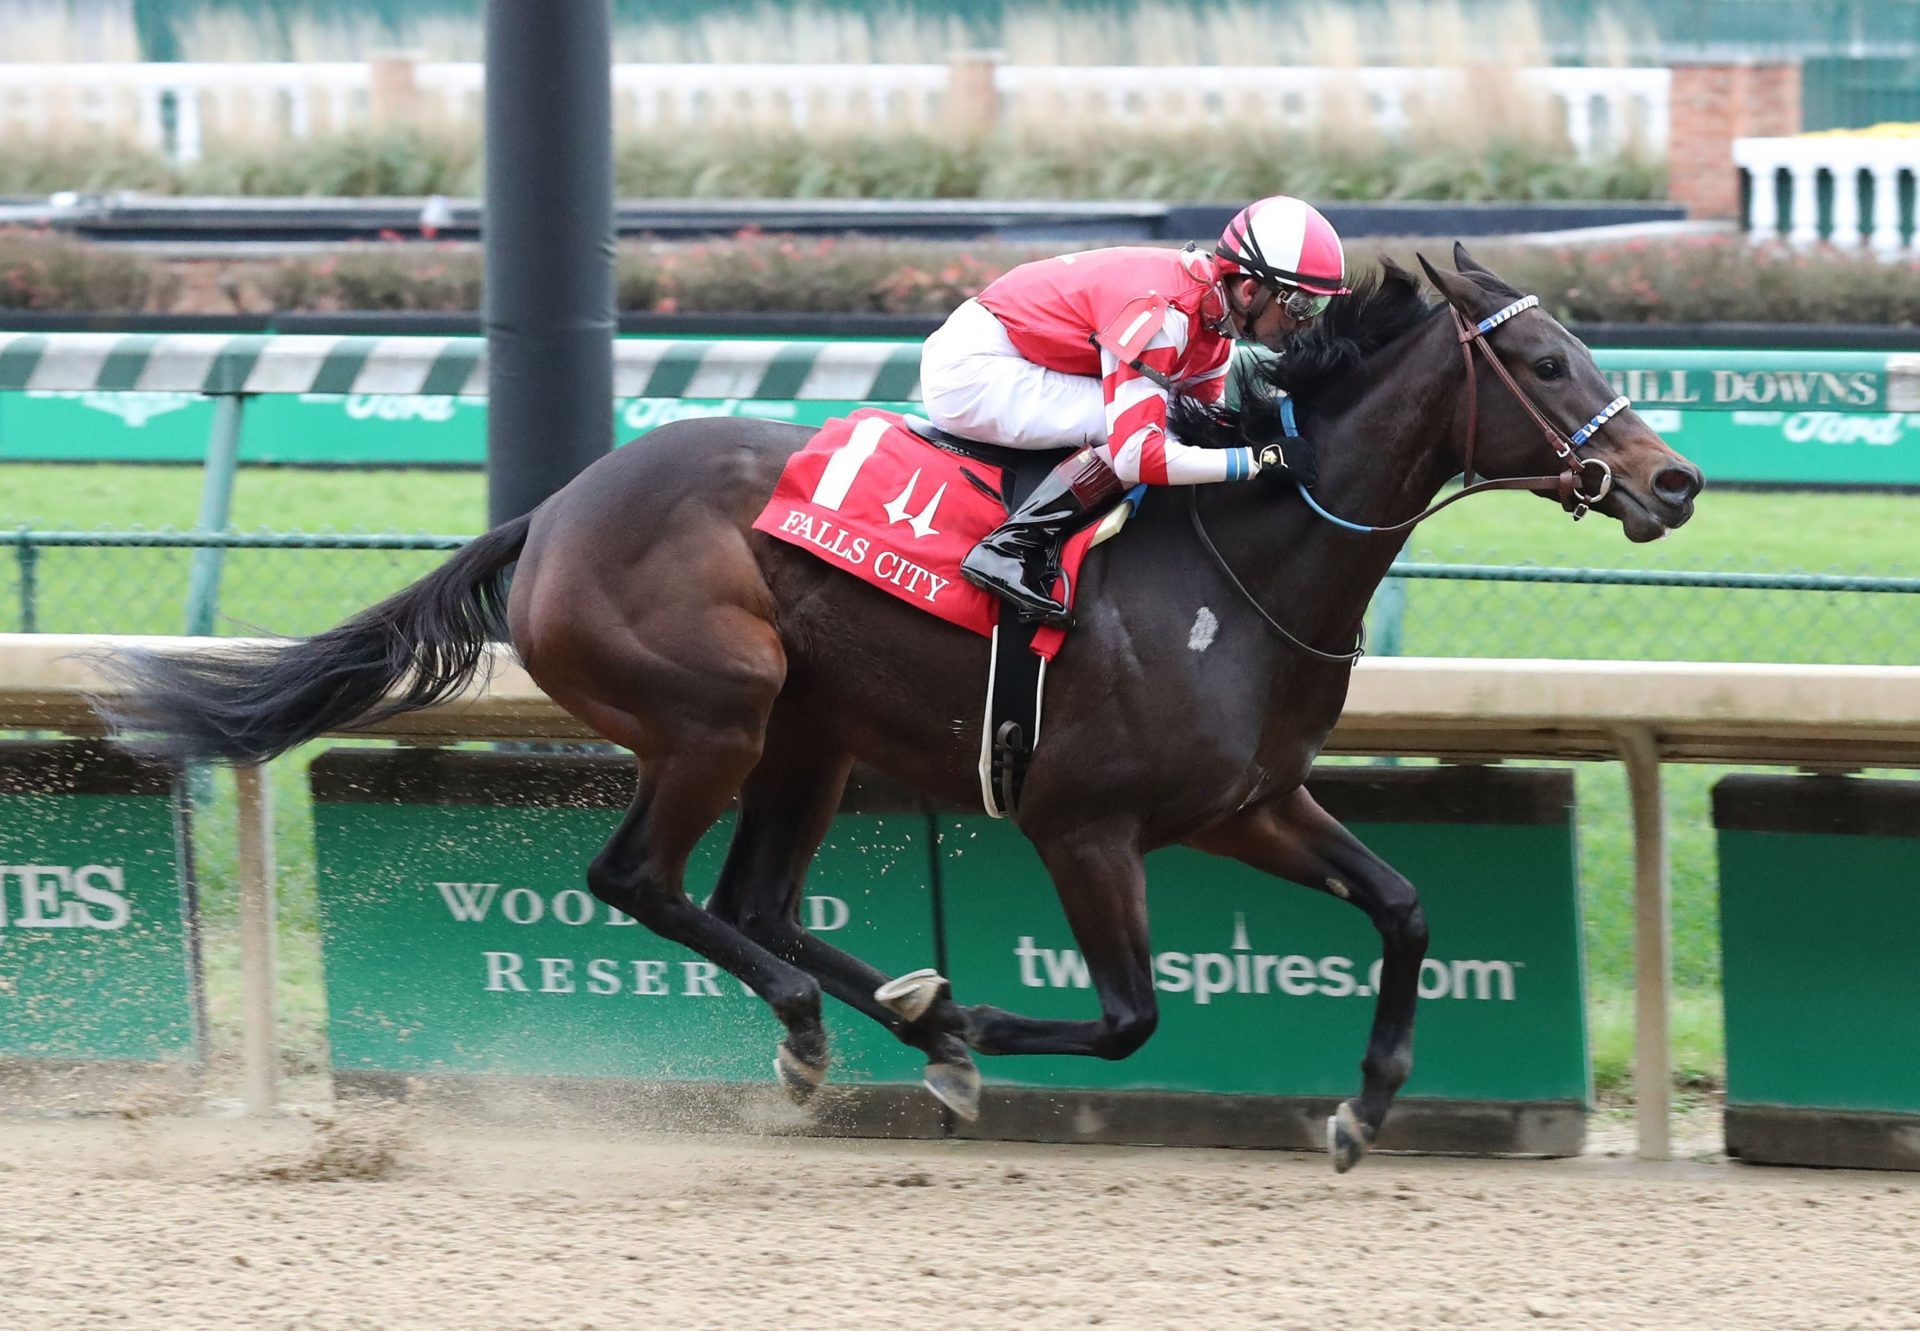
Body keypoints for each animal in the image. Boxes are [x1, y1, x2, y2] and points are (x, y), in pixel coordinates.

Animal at [97, 243, 1704, 1167]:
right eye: (1545, 357)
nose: (1675, 479)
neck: (1240, 564)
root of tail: (551, 510)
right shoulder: (1084, 824)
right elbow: (1129, 1014)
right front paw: (975, 1019)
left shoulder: (1249, 801)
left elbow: (1407, 904)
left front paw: (1364, 1108)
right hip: (722, 711)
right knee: (642, 879)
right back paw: (840, 1036)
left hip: (812, 737)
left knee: (752, 898)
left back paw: (889, 1017)